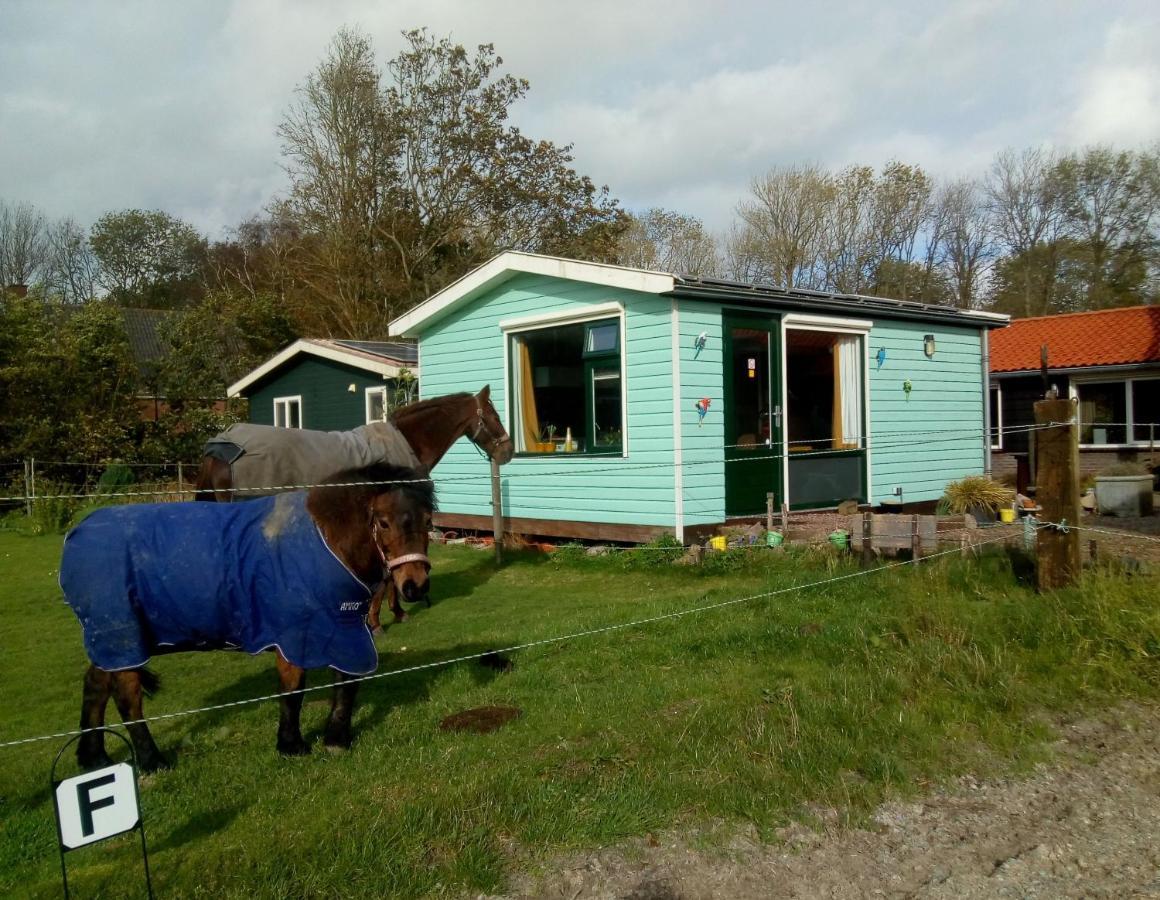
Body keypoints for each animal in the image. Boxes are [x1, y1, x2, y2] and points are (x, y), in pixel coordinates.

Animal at [62, 461, 436, 770]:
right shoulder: (294, 634)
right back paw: (151, 761)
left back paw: (94, 757)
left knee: (95, 684)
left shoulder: (343, 628)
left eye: (428, 521)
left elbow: (347, 683)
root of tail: (78, 536)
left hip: (111, 641)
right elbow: (292, 690)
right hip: (121, 636)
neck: (324, 541)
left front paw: (335, 740)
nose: (414, 585)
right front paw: (292, 745)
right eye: (383, 522)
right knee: (128, 699)